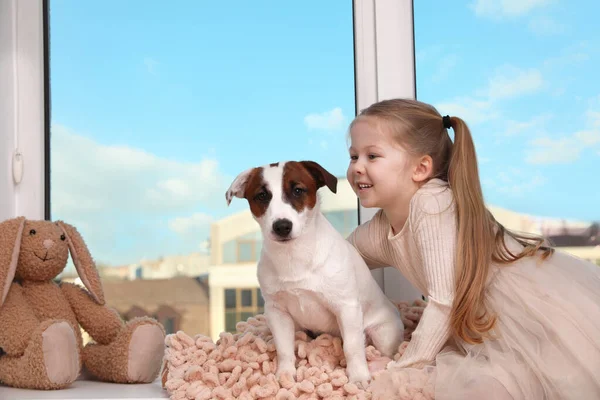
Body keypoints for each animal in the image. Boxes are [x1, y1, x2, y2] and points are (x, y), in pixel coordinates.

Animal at [225, 161, 404, 386]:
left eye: (298, 190)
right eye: (262, 195)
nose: (282, 226)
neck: (294, 256)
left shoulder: (346, 308)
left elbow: (353, 347)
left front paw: (358, 376)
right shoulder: (277, 312)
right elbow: (284, 348)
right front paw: (285, 373)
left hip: (383, 333)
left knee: (385, 352)